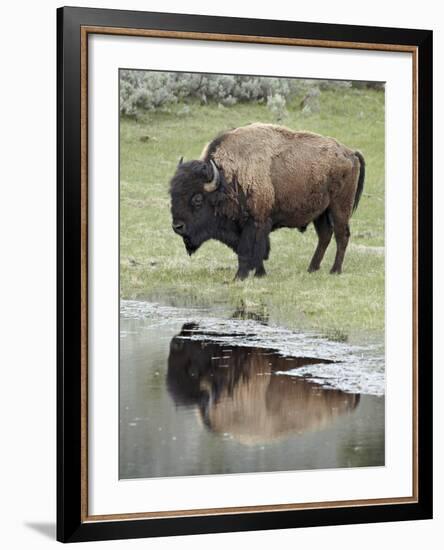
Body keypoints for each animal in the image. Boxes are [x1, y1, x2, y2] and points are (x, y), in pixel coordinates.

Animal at [169, 124, 364, 280]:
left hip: (339, 208)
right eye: (172, 194)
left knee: (341, 235)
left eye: (197, 199)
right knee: (325, 236)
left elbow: (248, 250)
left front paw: (239, 277)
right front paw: (259, 273)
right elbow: (258, 251)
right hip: (321, 212)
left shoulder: (255, 222)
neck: (227, 180)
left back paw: (335, 270)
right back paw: (312, 268)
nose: (177, 227)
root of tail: (350, 153)